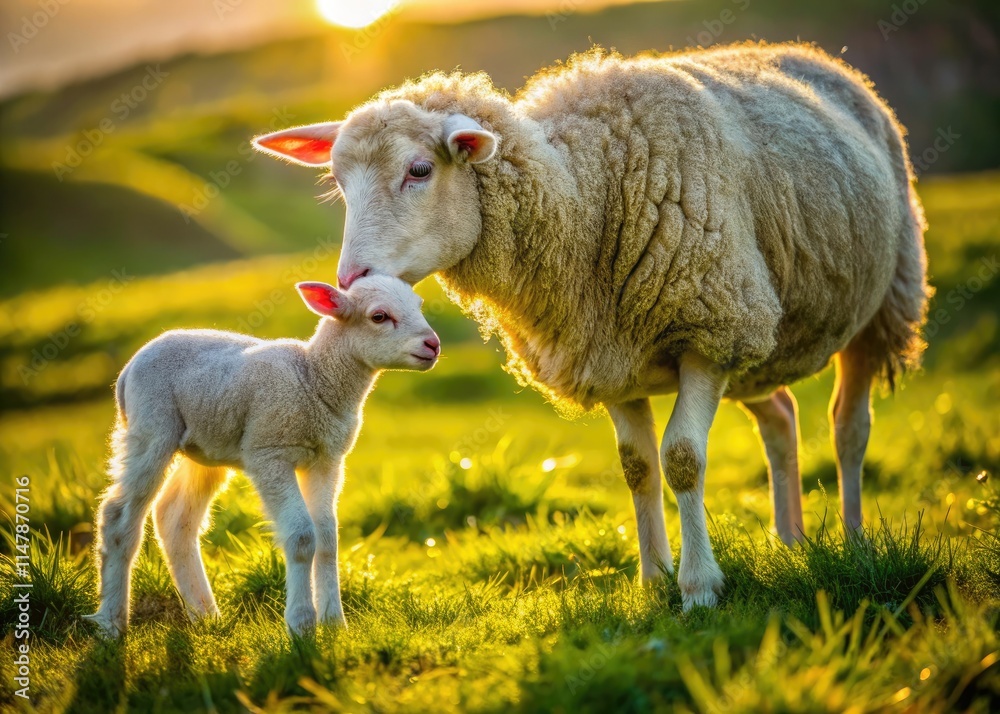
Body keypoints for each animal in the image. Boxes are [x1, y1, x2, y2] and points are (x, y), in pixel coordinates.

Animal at [84, 276, 440, 636]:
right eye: (379, 316)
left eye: (419, 305)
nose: (433, 344)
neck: (314, 377)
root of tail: (129, 368)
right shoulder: (269, 454)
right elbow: (302, 536)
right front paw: (301, 624)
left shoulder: (326, 459)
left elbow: (327, 538)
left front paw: (334, 623)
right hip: (152, 427)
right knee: (118, 516)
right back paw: (112, 622)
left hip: (203, 446)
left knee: (175, 518)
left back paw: (206, 615)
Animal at [253, 41, 931, 610]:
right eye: (338, 181)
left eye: (419, 170)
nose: (350, 279)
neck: (587, 197)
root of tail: (820, 58)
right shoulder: (613, 356)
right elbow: (638, 469)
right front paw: (653, 582)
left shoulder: (707, 334)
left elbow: (681, 459)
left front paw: (698, 588)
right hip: (758, 340)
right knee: (783, 417)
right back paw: (790, 543)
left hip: (875, 302)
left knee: (848, 425)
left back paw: (853, 541)